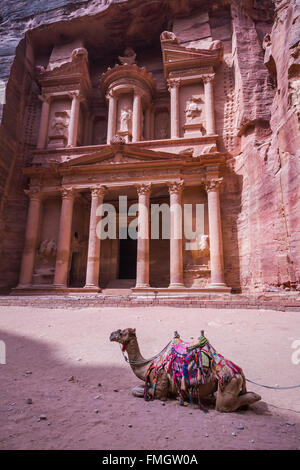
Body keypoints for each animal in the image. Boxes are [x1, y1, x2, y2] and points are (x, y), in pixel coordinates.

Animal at [109, 326, 262, 412]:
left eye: (122, 332)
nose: (110, 335)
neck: (148, 364)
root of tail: (239, 371)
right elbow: (136, 390)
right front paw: (179, 396)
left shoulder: (161, 381)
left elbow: (153, 394)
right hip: (235, 382)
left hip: (228, 382)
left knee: (225, 406)